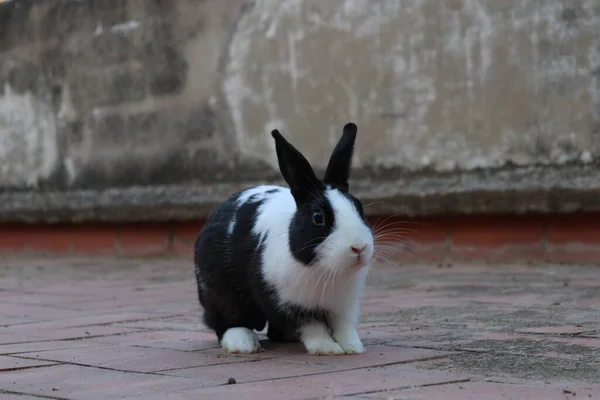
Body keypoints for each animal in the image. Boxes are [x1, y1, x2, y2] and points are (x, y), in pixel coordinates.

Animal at [196, 122, 376, 356]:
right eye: (318, 217)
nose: (358, 247)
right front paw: (326, 348)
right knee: (226, 320)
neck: (326, 269)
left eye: (359, 207)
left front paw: (353, 347)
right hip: (220, 292)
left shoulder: (344, 305)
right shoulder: (289, 304)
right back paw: (243, 343)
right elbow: (312, 327)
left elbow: (344, 326)